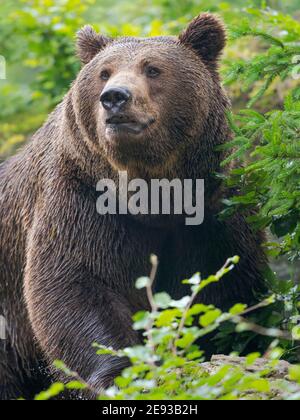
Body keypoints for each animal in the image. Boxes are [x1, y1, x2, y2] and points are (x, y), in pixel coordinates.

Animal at [0, 13, 268, 400]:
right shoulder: (81, 199)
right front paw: (117, 373)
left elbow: (226, 286)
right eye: (104, 72)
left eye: (153, 69)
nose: (114, 98)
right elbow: (76, 284)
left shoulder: (214, 213)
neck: (155, 198)